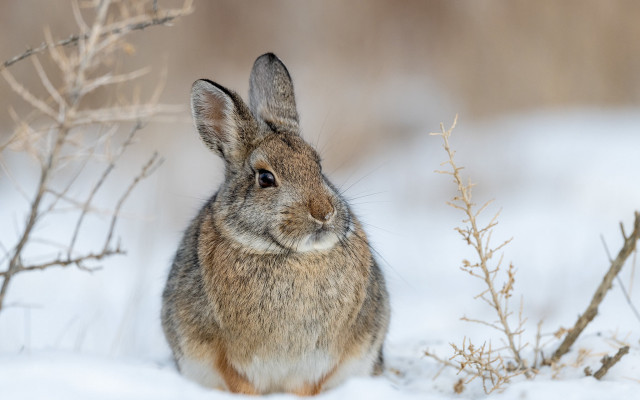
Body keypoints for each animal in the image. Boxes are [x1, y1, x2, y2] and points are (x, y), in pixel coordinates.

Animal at [161, 53, 390, 396]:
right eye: (265, 178)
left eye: (318, 166)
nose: (323, 213)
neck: (290, 256)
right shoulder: (224, 356)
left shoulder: (317, 363)